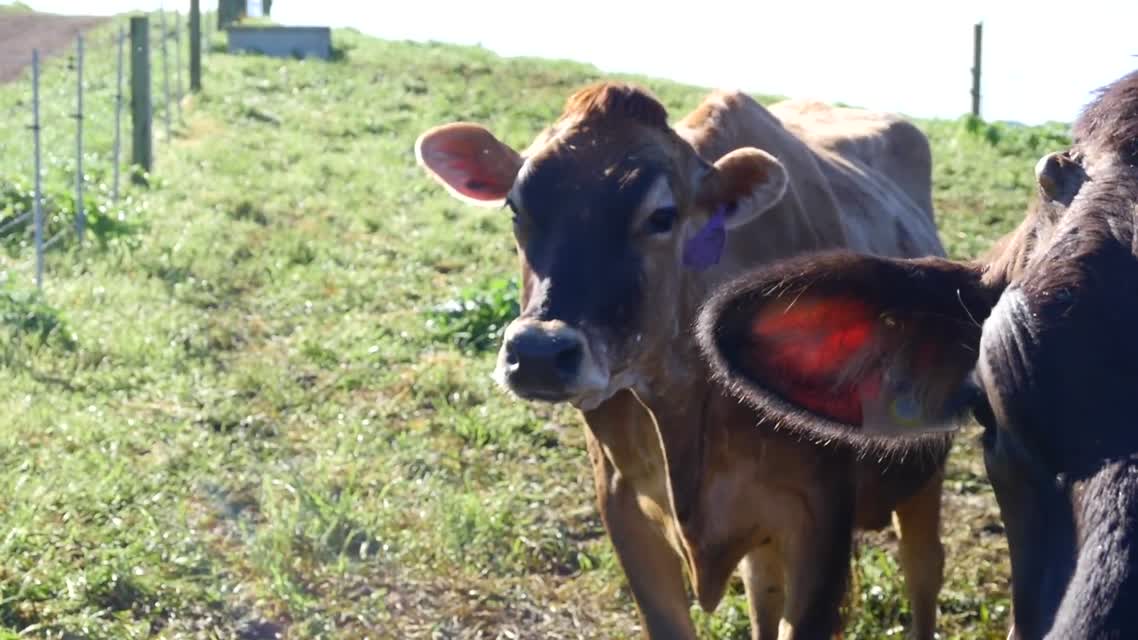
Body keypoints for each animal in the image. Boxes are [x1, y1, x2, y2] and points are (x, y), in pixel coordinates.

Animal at [414, 81, 950, 639]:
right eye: (517, 209)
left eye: (662, 217)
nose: (539, 353)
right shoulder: (623, 503)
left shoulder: (821, 523)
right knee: (764, 588)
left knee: (923, 568)